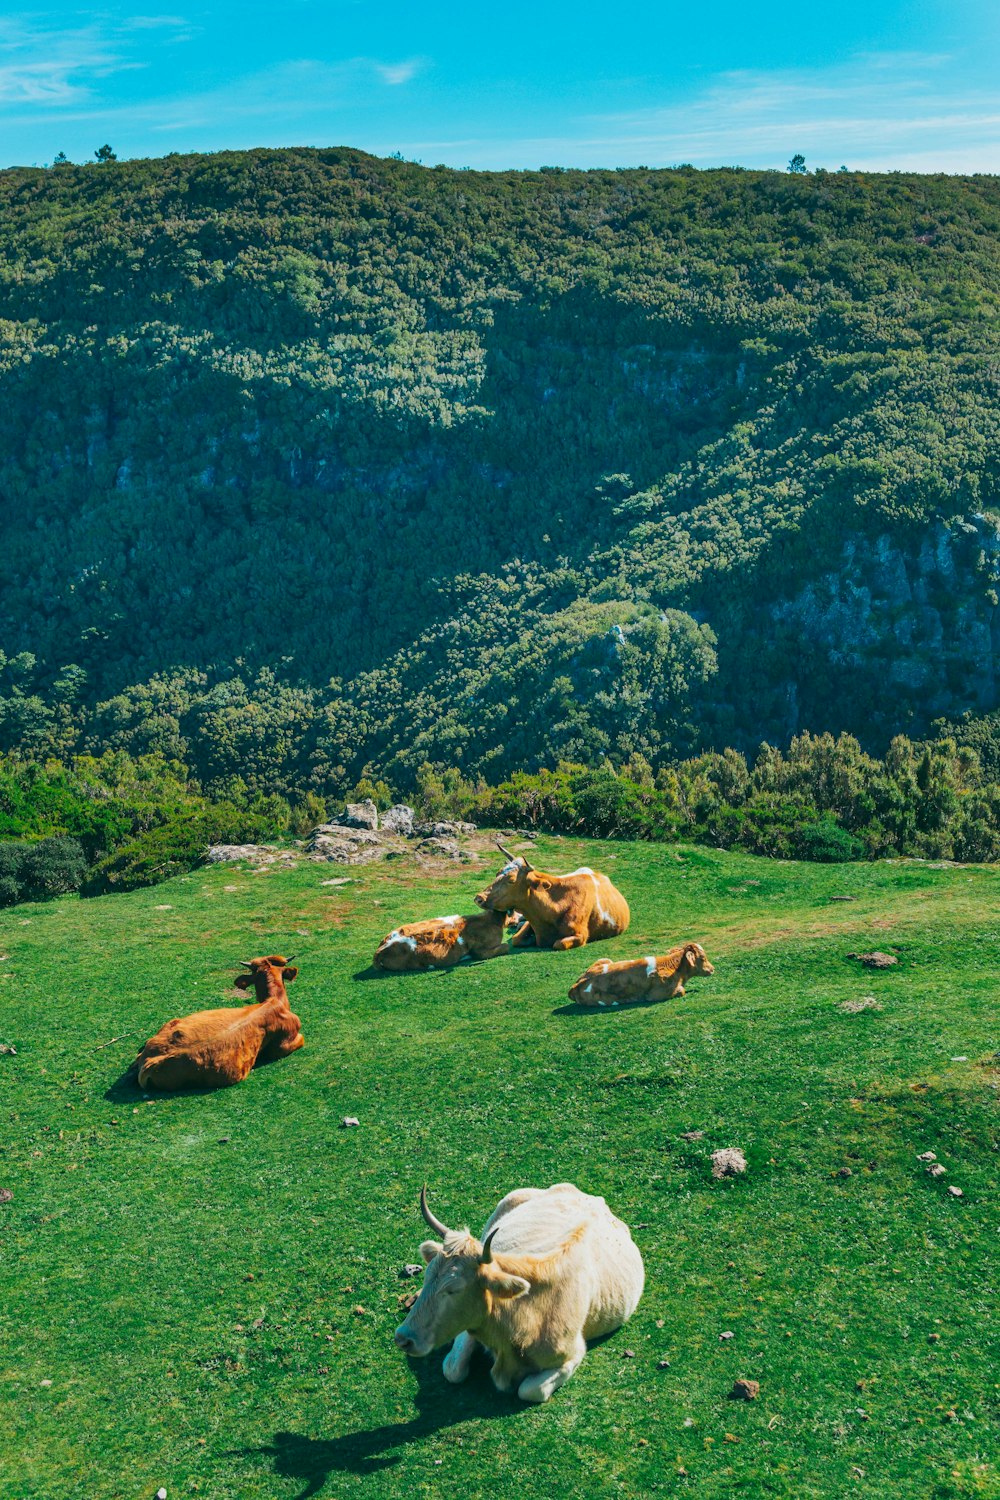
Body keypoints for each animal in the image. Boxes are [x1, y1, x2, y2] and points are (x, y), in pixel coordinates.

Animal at [373, 900, 521, 972]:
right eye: (514, 912)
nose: (520, 917)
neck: (491, 920)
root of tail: (379, 951)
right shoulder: (480, 952)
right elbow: (506, 946)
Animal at [395, 1182, 644, 1404]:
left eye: (453, 1290)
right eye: (428, 1277)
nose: (403, 1338)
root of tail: (592, 1199)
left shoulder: (573, 1355)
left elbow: (530, 1390)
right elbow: (453, 1369)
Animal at [476, 840, 629, 954]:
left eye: (511, 880)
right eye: (497, 873)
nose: (479, 898)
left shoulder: (581, 935)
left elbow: (558, 943)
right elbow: (516, 939)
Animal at [566, 948, 716, 1008]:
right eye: (703, 958)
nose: (713, 968)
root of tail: (574, 986)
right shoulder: (656, 995)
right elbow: (681, 991)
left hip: (604, 959)